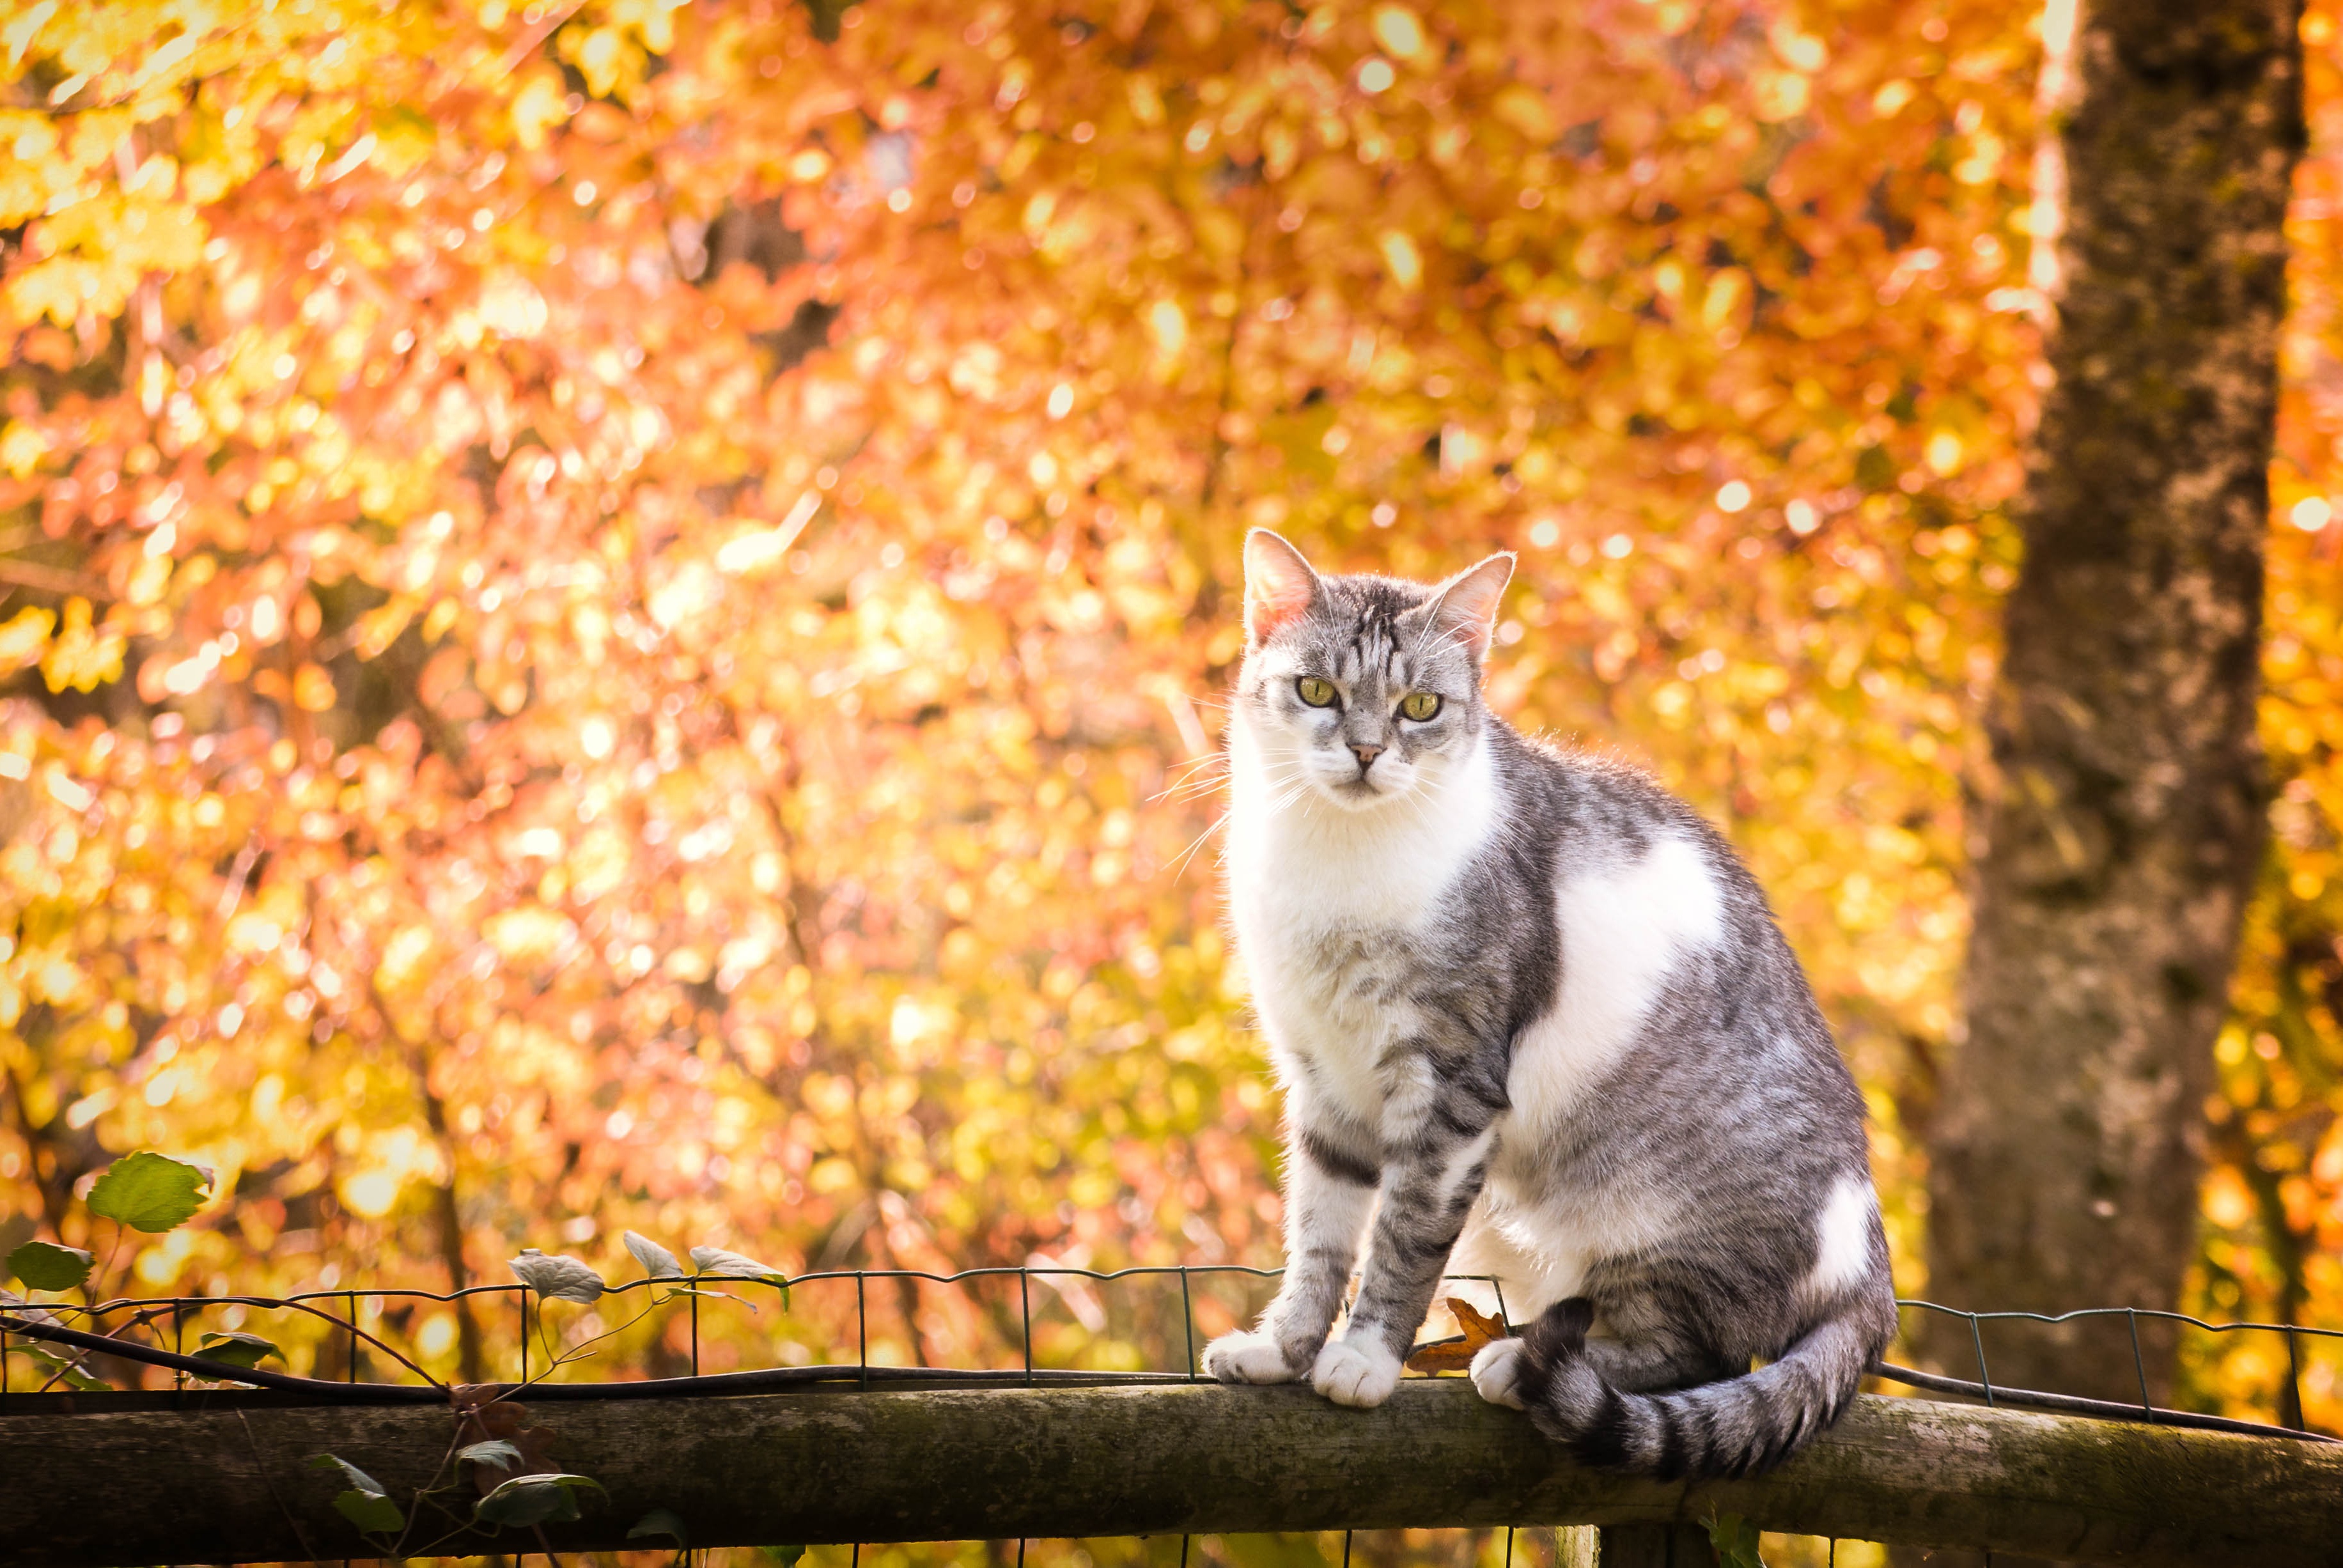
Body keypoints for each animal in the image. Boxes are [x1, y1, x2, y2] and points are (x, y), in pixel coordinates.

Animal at [1199, 532, 1893, 1471]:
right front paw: (1283, 1349)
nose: (1368, 751)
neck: (1340, 856)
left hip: (1649, 1222)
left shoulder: (1452, 1080)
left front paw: (1364, 1358)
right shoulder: (1321, 1078)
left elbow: (1402, 1238)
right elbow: (1318, 1235)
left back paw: (1514, 1360)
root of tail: (1868, 1262)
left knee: (1698, 1353)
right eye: (1316, 691)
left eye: (1420, 706)